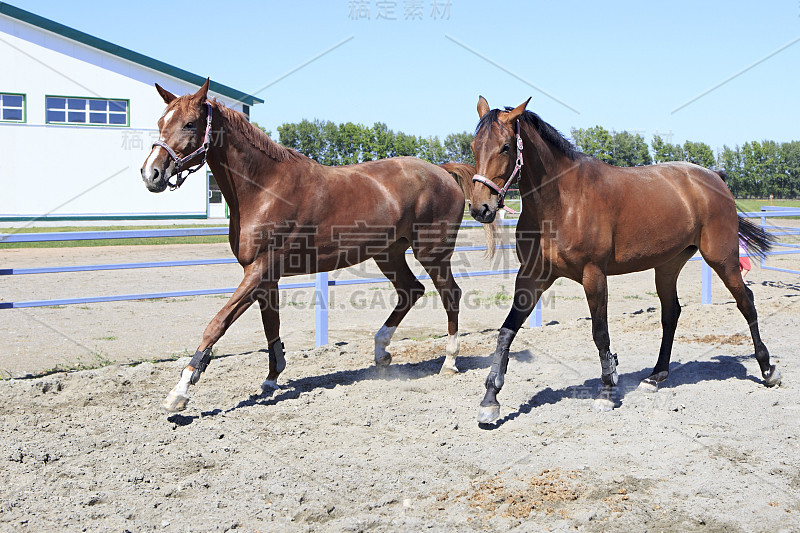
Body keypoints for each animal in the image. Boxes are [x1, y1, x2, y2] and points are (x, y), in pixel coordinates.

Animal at [140, 80, 478, 412]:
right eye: (160, 122)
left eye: (190, 124)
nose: (151, 173)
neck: (265, 189)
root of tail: (442, 171)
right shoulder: (266, 277)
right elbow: (271, 326)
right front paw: (271, 380)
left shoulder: (259, 271)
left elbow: (217, 324)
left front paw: (179, 391)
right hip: (389, 253)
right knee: (410, 291)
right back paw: (381, 352)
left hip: (432, 253)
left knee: (450, 295)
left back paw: (449, 362)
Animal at [468, 95, 780, 424]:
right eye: (474, 145)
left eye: (505, 147)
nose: (480, 208)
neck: (562, 202)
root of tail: (714, 178)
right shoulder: (532, 275)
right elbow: (506, 332)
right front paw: (490, 400)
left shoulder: (593, 275)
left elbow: (600, 333)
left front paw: (606, 392)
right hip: (668, 266)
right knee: (671, 313)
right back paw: (656, 376)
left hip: (722, 259)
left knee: (746, 302)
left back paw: (767, 369)